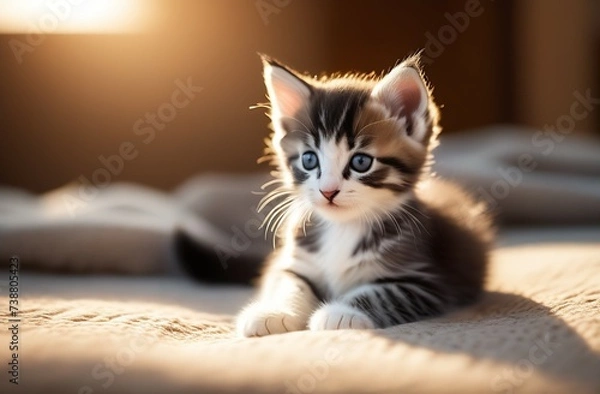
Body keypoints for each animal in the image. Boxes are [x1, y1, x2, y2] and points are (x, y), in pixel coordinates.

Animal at [237, 53, 494, 338]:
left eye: (361, 162)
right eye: (309, 160)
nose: (328, 191)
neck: (343, 227)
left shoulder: (425, 282)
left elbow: (381, 293)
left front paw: (341, 313)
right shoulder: (292, 263)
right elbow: (289, 283)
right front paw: (274, 312)